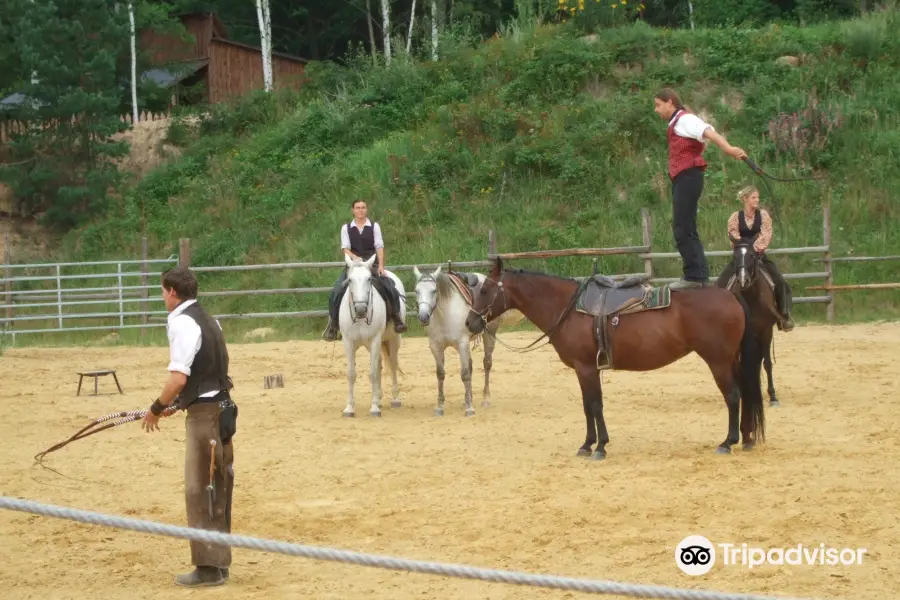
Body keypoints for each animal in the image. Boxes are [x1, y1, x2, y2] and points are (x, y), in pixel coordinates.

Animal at [340, 253, 406, 418]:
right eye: (350, 280)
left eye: (369, 279)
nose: (361, 309)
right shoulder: (348, 342)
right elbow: (351, 374)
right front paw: (349, 408)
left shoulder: (375, 340)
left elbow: (373, 373)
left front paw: (374, 408)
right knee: (380, 364)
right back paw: (379, 398)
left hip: (393, 339)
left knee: (392, 364)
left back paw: (395, 399)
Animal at [414, 264, 500, 414]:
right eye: (416, 291)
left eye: (434, 290)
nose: (423, 317)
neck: (445, 313)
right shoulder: (436, 346)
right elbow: (440, 374)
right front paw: (440, 406)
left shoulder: (462, 343)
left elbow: (465, 374)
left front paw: (469, 408)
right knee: (471, 366)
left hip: (489, 335)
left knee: (487, 364)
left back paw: (485, 399)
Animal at [464, 256, 768, 460]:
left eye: (485, 290)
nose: (470, 322)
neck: (568, 308)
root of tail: (730, 295)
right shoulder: (589, 369)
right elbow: (589, 405)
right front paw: (591, 444)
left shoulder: (585, 368)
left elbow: (594, 405)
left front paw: (596, 447)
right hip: (731, 360)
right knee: (745, 394)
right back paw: (748, 437)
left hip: (718, 362)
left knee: (733, 396)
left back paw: (728, 442)